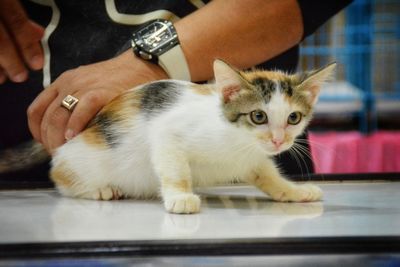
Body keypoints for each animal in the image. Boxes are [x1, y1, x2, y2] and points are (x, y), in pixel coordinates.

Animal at [1, 59, 334, 215]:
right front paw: (180, 197)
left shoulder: (253, 158)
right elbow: (175, 169)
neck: (237, 140)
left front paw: (292, 191)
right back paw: (100, 189)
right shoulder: (166, 132)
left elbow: (267, 174)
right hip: (80, 159)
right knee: (60, 174)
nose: (278, 141)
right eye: (258, 116)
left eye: (294, 118)